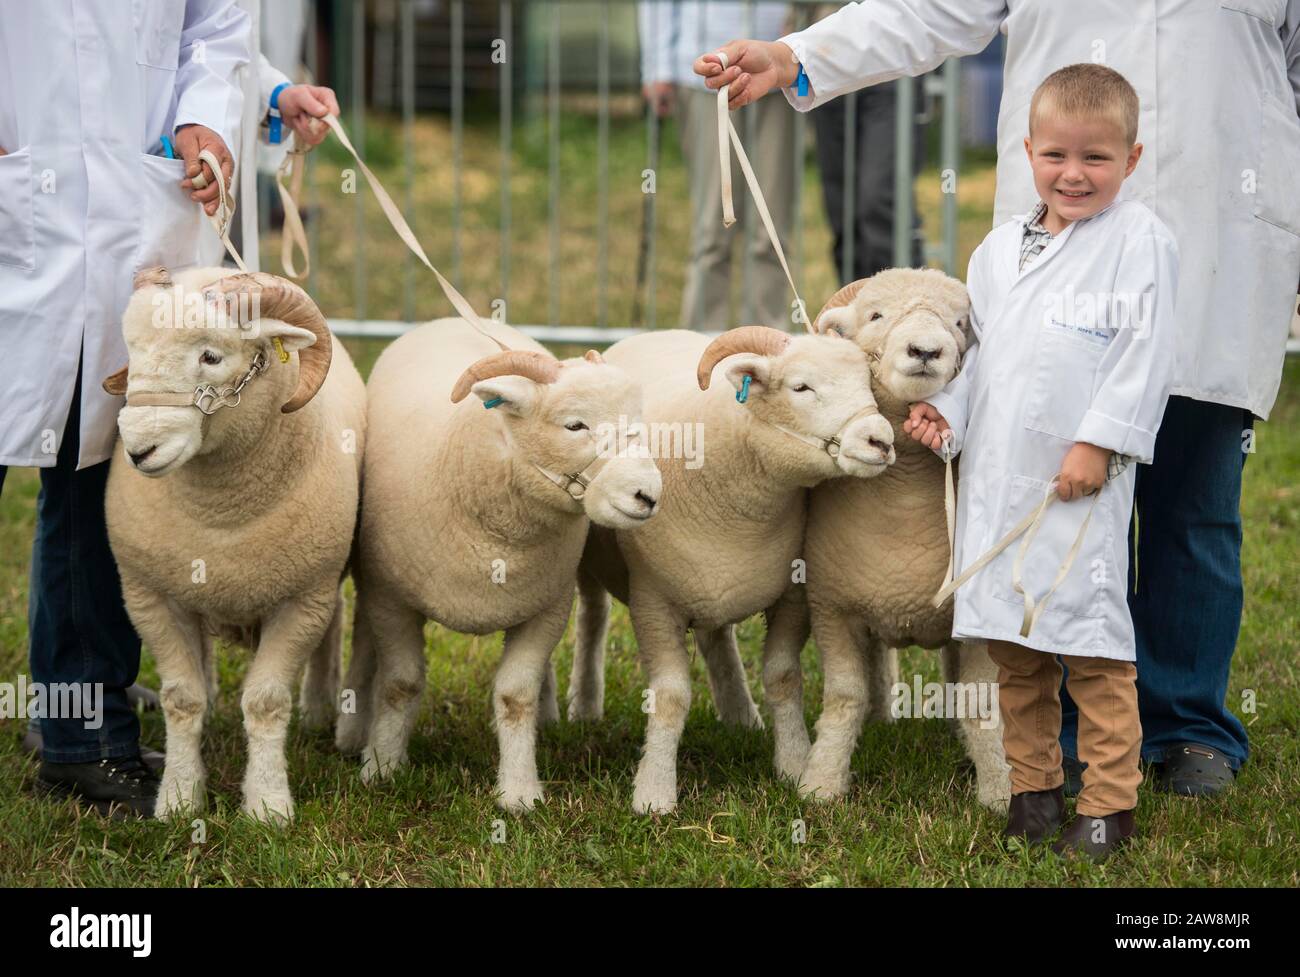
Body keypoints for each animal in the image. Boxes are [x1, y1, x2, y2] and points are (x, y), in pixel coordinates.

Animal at [99, 263, 366, 821]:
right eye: (132, 348)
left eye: (211, 356)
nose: (139, 449)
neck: (221, 514)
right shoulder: (150, 597)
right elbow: (182, 699)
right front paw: (180, 797)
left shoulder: (301, 599)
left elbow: (266, 703)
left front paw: (267, 804)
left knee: (334, 621)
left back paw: (318, 707)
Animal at [340, 317, 665, 810]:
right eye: (575, 425)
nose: (648, 495)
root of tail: (450, 319)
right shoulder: (391, 598)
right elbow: (401, 684)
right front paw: (382, 767)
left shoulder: (546, 607)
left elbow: (516, 695)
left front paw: (519, 791)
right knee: (363, 640)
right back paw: (350, 731)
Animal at [574, 324, 899, 810]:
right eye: (801, 387)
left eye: (868, 384)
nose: (881, 440)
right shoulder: (653, 603)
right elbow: (670, 697)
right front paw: (654, 792)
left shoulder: (792, 595)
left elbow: (783, 677)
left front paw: (794, 763)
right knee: (593, 617)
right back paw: (582, 707)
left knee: (716, 638)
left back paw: (740, 716)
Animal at [769, 265, 1013, 810]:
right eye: (876, 315)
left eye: (960, 323)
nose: (925, 350)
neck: (903, 505)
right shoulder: (833, 609)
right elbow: (845, 696)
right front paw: (822, 784)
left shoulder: (975, 622)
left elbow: (979, 702)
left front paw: (999, 791)